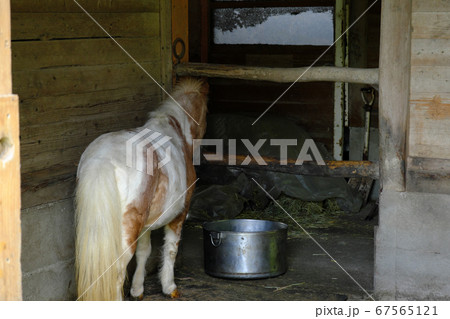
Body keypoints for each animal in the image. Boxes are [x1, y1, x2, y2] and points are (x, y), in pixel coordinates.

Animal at [76, 79, 209, 302]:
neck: (175, 130)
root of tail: (103, 159)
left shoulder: (146, 224)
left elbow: (144, 252)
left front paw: (137, 289)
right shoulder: (180, 215)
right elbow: (170, 249)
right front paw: (169, 286)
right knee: (116, 274)